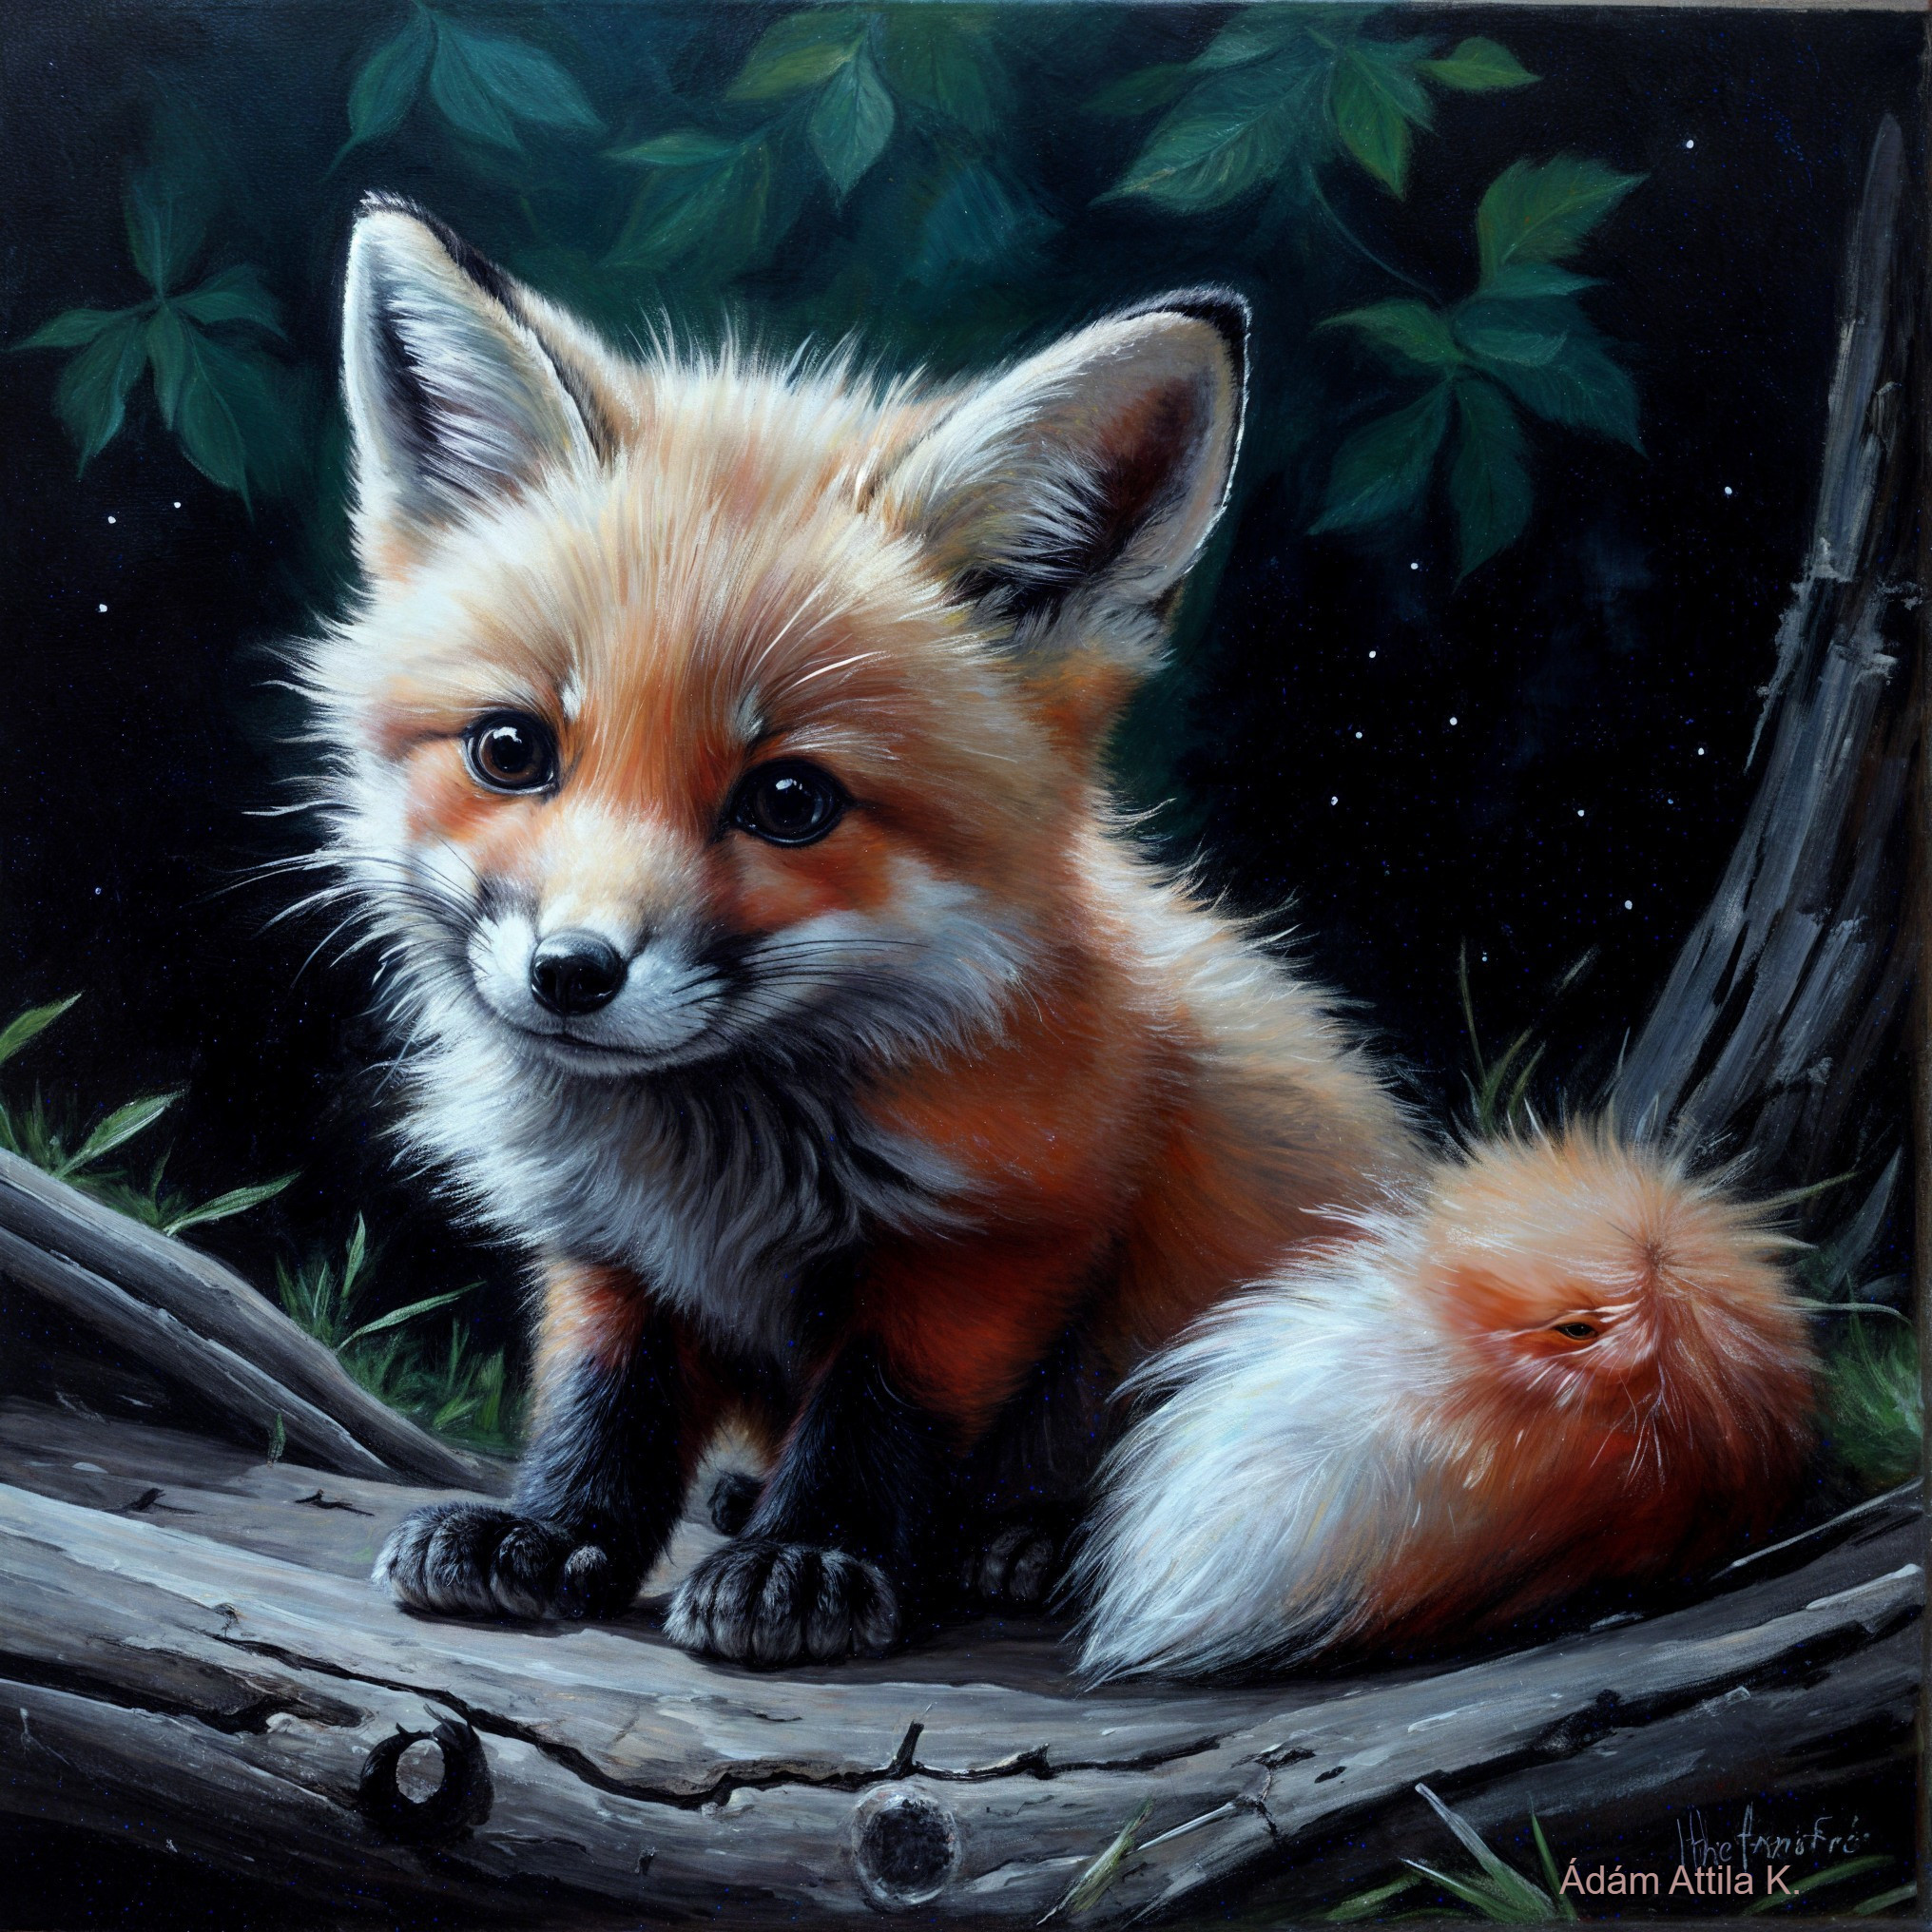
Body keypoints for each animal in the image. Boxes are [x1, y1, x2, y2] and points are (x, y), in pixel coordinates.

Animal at [307, 195, 1814, 1676]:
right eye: (512, 751)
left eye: (790, 801)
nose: (571, 974)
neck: (715, 1152)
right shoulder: (607, 1249)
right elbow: (601, 1403)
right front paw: (554, 1533)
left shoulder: (1005, 1232)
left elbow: (880, 1415)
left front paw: (816, 1560)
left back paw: (1028, 1543)